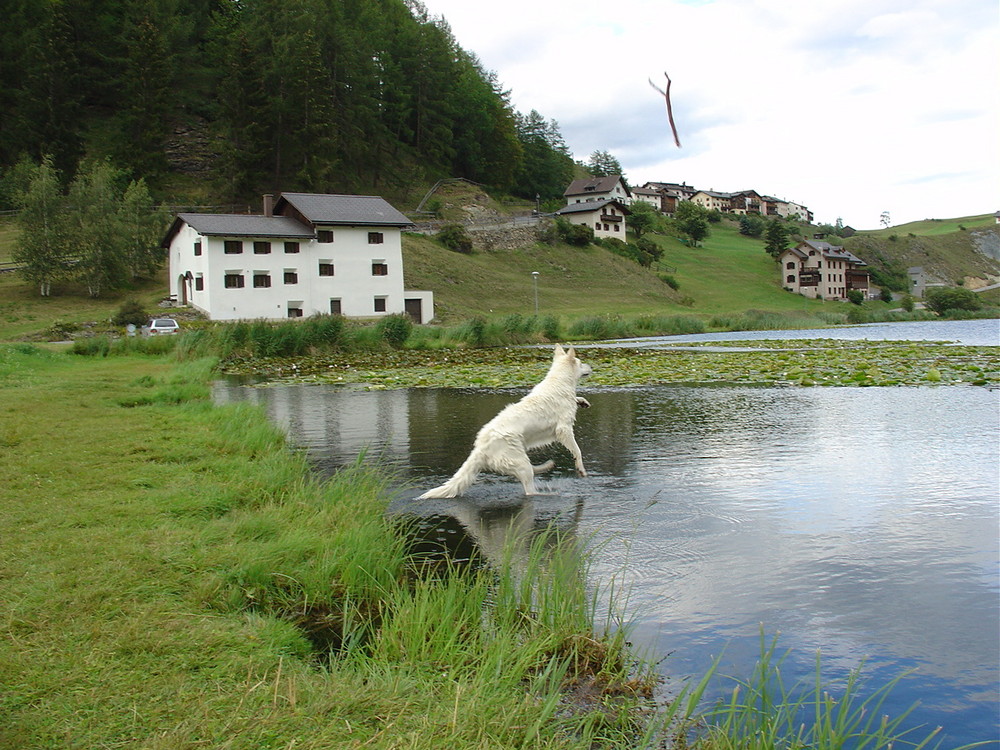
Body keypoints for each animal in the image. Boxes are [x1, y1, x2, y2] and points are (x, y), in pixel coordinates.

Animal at [416, 346, 588, 500]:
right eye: (581, 363)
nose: (590, 367)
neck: (559, 381)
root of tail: (480, 447)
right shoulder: (564, 430)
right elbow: (578, 451)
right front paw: (581, 469)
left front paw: (582, 401)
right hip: (519, 460)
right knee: (530, 490)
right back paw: (549, 493)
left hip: (518, 456)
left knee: (529, 472)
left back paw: (547, 467)